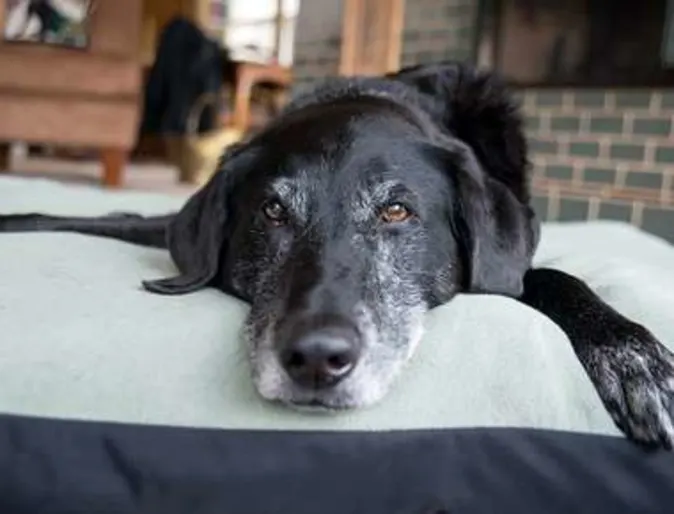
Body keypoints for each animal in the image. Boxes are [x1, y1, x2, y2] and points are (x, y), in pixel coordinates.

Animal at [2, 63, 668, 448]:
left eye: (396, 212)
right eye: (272, 212)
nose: (317, 360)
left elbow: (554, 276)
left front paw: (633, 356)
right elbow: (60, 217)